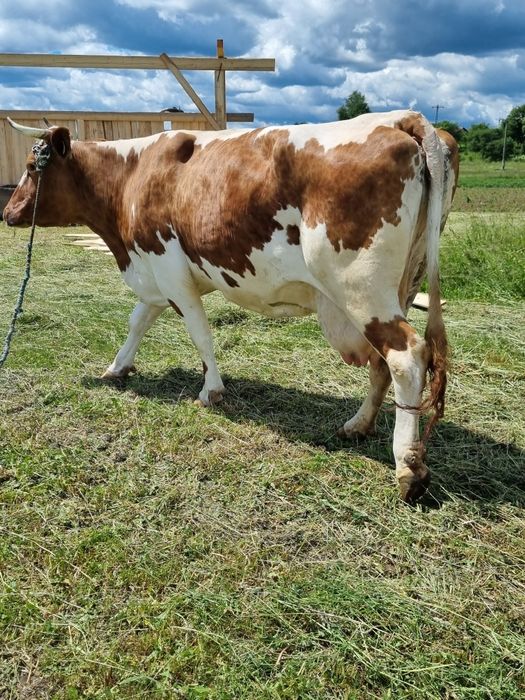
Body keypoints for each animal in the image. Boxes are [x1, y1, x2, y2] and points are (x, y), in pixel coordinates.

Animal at [3, 111, 458, 502]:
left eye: (32, 166)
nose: (8, 212)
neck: (131, 175)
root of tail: (401, 118)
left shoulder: (170, 270)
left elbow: (199, 333)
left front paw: (211, 391)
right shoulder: (153, 274)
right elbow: (138, 322)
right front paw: (116, 368)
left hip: (360, 289)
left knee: (406, 355)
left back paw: (407, 468)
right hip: (401, 285)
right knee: (383, 363)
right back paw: (358, 426)